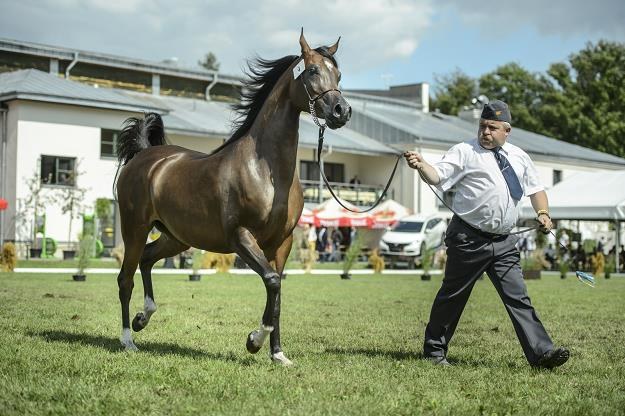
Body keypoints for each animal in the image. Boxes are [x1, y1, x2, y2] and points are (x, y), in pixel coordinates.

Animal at [114, 31, 348, 364]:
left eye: (338, 75)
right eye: (313, 71)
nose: (342, 111)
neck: (266, 170)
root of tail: (146, 156)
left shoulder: (282, 242)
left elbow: (277, 292)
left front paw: (277, 354)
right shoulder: (241, 237)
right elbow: (272, 282)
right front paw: (254, 341)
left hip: (177, 237)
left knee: (146, 260)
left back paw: (142, 318)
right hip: (134, 228)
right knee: (126, 278)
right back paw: (128, 339)